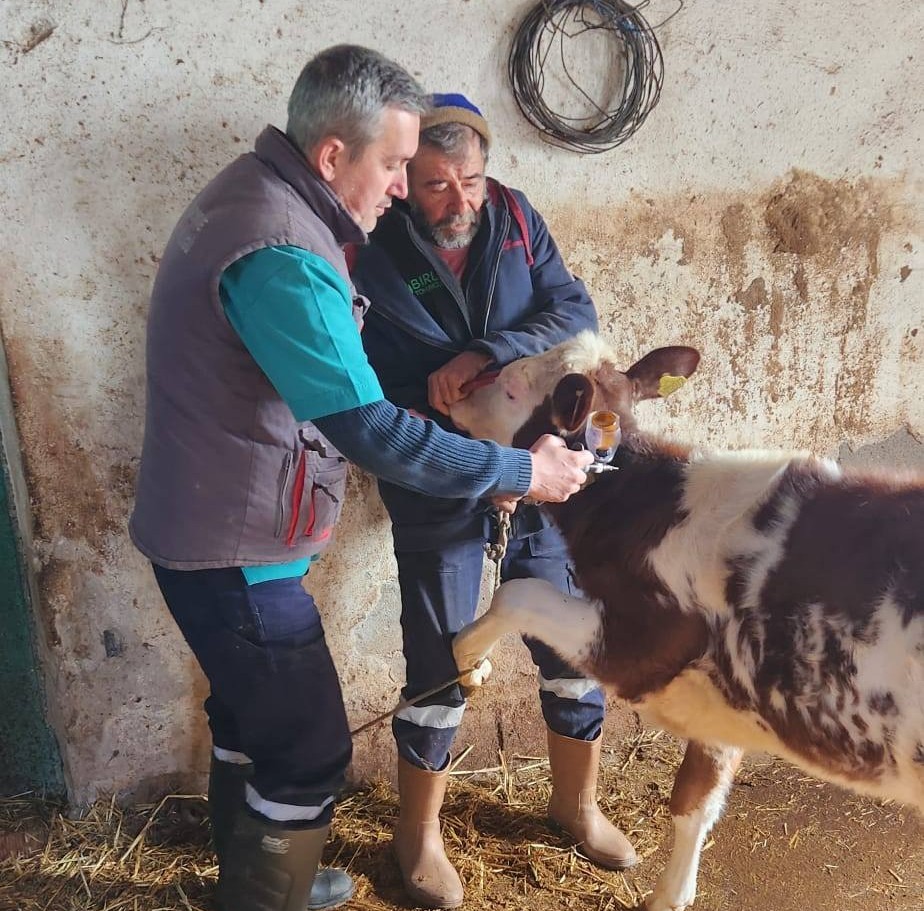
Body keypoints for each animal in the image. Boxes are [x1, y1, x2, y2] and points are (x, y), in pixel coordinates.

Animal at [450, 334, 924, 911]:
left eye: (513, 386)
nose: (454, 393)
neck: (647, 510)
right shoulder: (727, 697)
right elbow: (693, 800)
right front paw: (671, 896)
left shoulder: (641, 648)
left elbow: (515, 594)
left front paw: (469, 662)